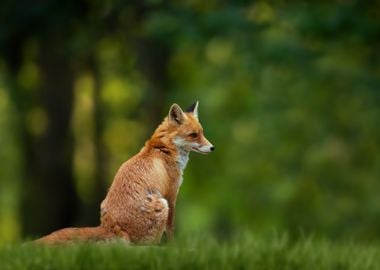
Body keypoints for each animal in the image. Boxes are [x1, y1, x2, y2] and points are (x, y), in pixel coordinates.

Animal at [36, 101, 214, 245]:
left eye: (202, 132)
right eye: (193, 135)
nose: (213, 148)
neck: (164, 149)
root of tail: (112, 227)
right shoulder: (171, 195)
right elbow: (171, 229)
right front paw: (173, 248)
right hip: (162, 205)